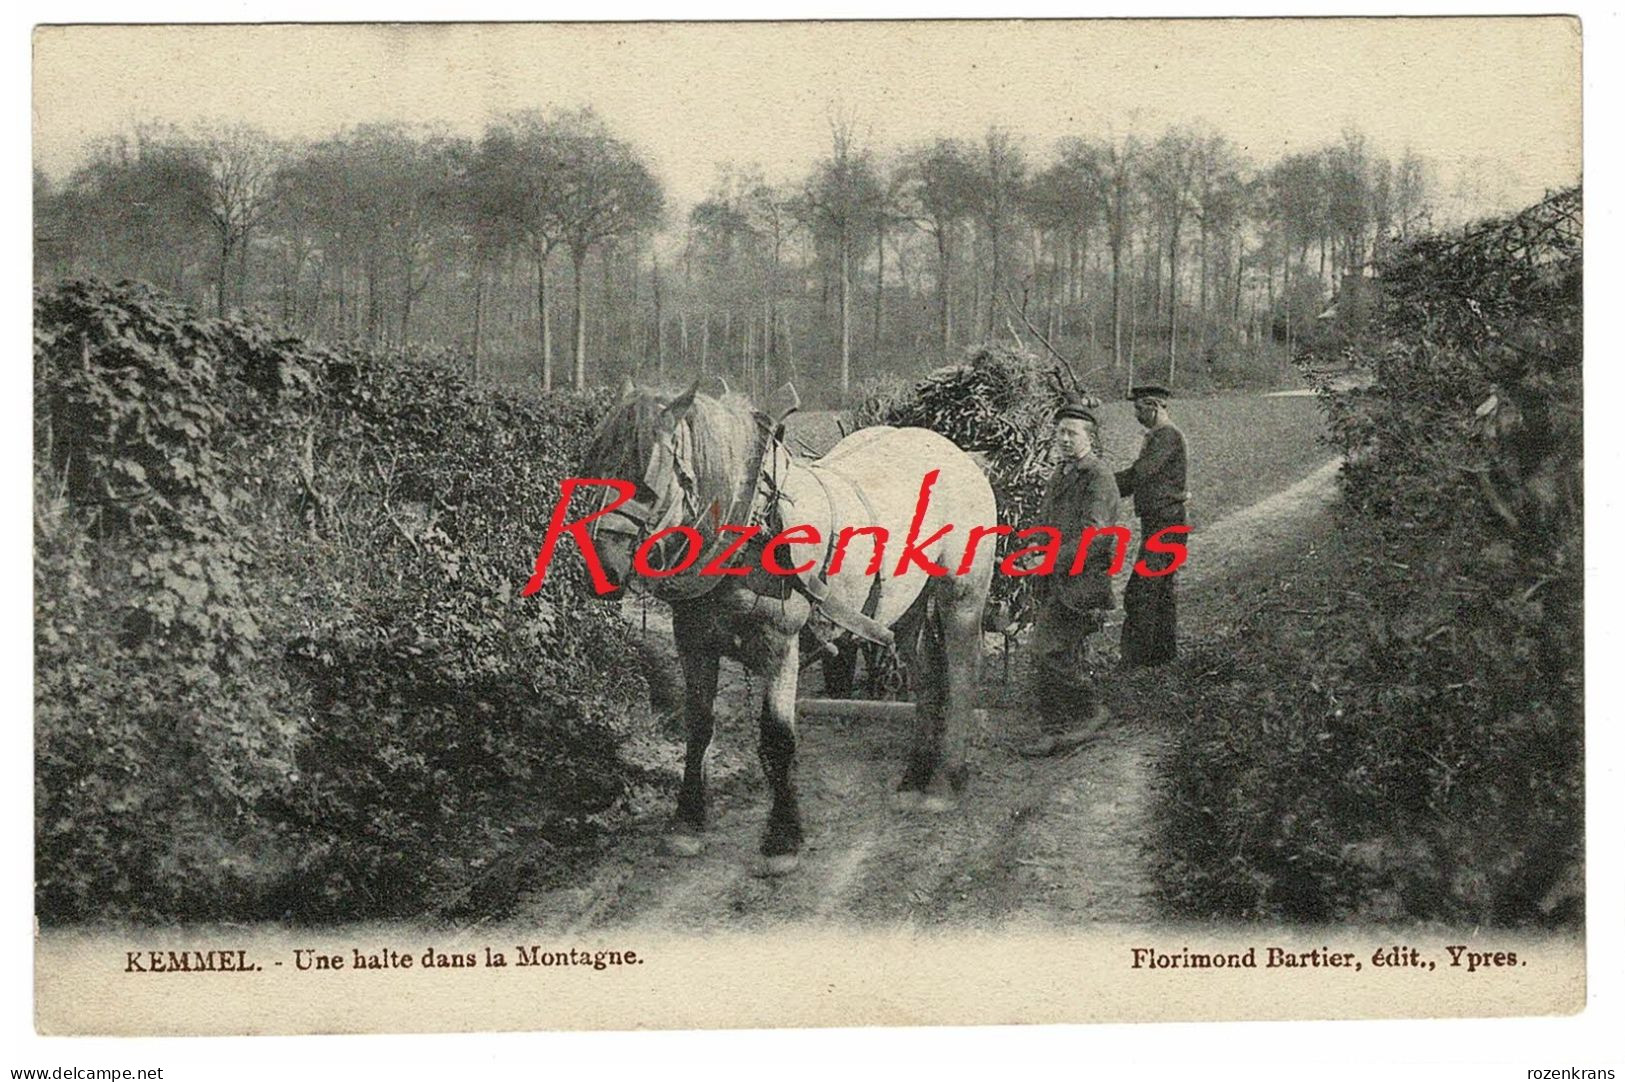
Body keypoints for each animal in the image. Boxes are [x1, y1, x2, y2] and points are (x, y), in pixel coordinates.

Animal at [578, 378, 994, 870]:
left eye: (644, 479)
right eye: (594, 464)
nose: (601, 568)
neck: (753, 525)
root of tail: (959, 454)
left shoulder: (780, 644)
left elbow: (778, 738)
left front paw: (782, 838)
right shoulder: (693, 642)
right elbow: (698, 726)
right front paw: (687, 823)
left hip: (962, 594)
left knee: (962, 673)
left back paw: (946, 781)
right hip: (906, 607)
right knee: (926, 676)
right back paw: (914, 777)